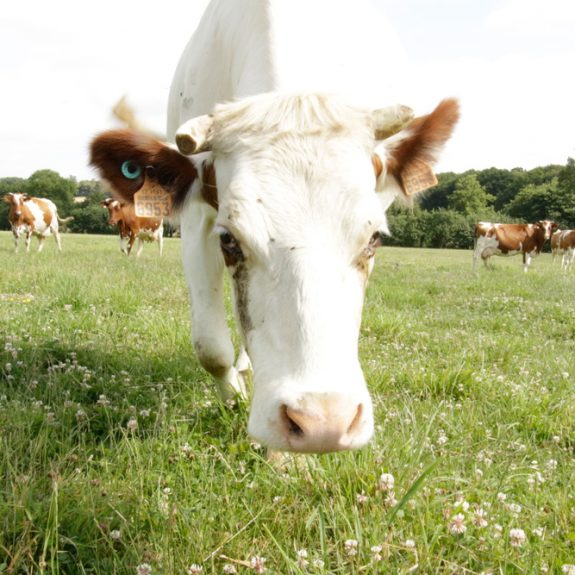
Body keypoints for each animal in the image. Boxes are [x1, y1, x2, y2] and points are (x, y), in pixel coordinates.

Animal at [90, 0, 460, 454]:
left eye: (373, 238)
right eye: (230, 240)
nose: (323, 423)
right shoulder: (197, 221)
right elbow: (210, 346)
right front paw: (234, 397)